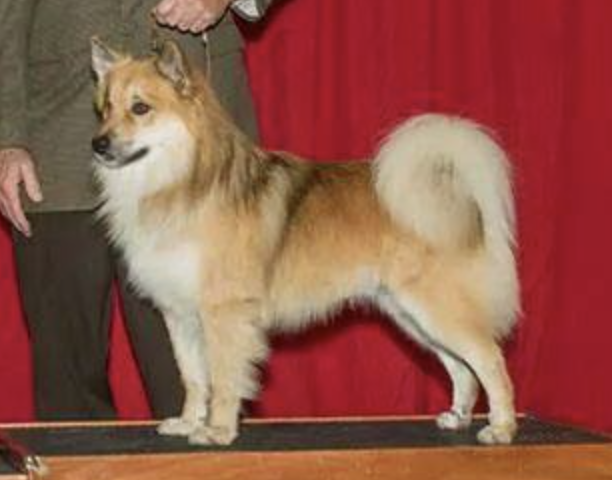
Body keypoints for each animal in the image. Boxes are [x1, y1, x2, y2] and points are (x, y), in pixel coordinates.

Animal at [92, 37, 520, 446]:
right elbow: (194, 377)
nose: (98, 144)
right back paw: (458, 416)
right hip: (409, 313)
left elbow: (225, 378)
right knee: (461, 366)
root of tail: (455, 193)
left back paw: (501, 428)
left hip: (437, 306)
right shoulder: (180, 314)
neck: (179, 184)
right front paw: (187, 422)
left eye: (141, 108)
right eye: (105, 108)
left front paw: (218, 430)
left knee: (490, 360)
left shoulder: (224, 312)